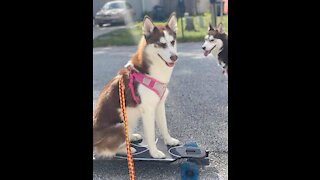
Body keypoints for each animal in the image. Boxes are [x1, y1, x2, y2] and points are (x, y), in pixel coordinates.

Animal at [94, 13, 181, 159]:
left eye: (172, 42)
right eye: (161, 44)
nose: (174, 57)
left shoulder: (159, 105)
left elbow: (164, 126)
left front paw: (169, 141)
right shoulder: (148, 110)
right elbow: (151, 135)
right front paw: (154, 152)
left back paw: (132, 137)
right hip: (121, 125)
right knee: (106, 149)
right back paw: (127, 150)